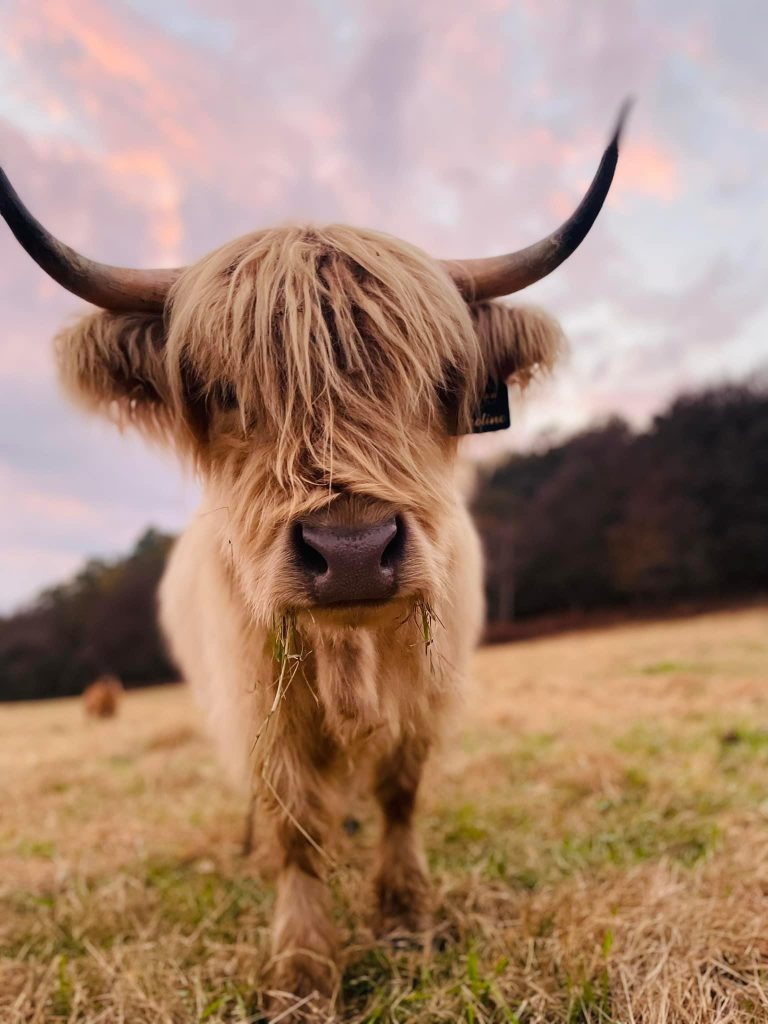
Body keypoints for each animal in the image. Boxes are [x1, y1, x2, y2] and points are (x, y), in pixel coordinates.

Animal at [1, 104, 627, 1019]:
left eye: (438, 381)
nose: (354, 551)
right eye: (226, 393)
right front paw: (301, 966)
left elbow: (400, 793)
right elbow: (294, 823)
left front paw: (404, 915)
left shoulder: (428, 690)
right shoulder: (261, 703)